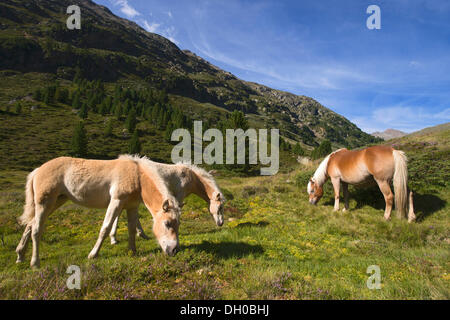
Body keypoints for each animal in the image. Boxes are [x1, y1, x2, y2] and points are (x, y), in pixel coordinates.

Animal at [15, 155, 181, 268]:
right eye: (167, 223)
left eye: (177, 224)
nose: (174, 250)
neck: (137, 175)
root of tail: (38, 170)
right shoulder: (116, 201)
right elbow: (105, 228)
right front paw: (93, 255)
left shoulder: (132, 206)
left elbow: (132, 229)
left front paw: (132, 251)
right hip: (45, 203)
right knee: (36, 229)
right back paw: (34, 263)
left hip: (56, 201)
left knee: (30, 225)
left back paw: (20, 255)